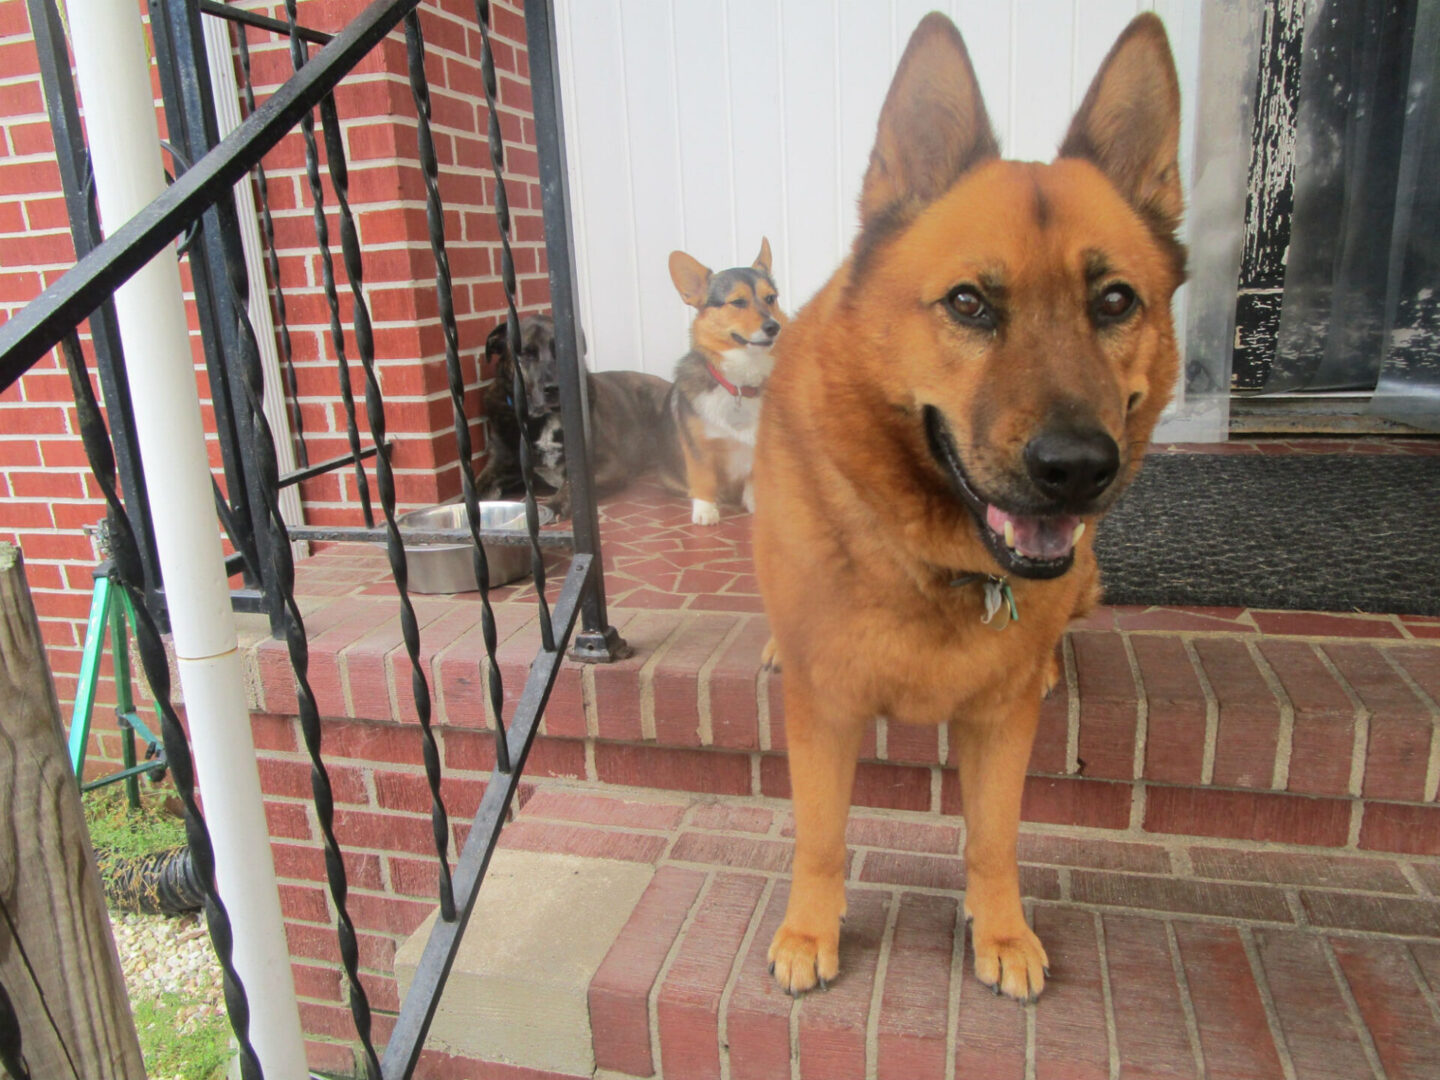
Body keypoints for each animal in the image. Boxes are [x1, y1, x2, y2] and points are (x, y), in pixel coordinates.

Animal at [754, 12, 1180, 1002]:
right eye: (969, 303)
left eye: (1115, 301)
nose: (1076, 469)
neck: (934, 560)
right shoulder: (825, 711)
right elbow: (820, 834)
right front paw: (809, 931)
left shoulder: (998, 726)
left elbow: (994, 838)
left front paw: (1002, 932)